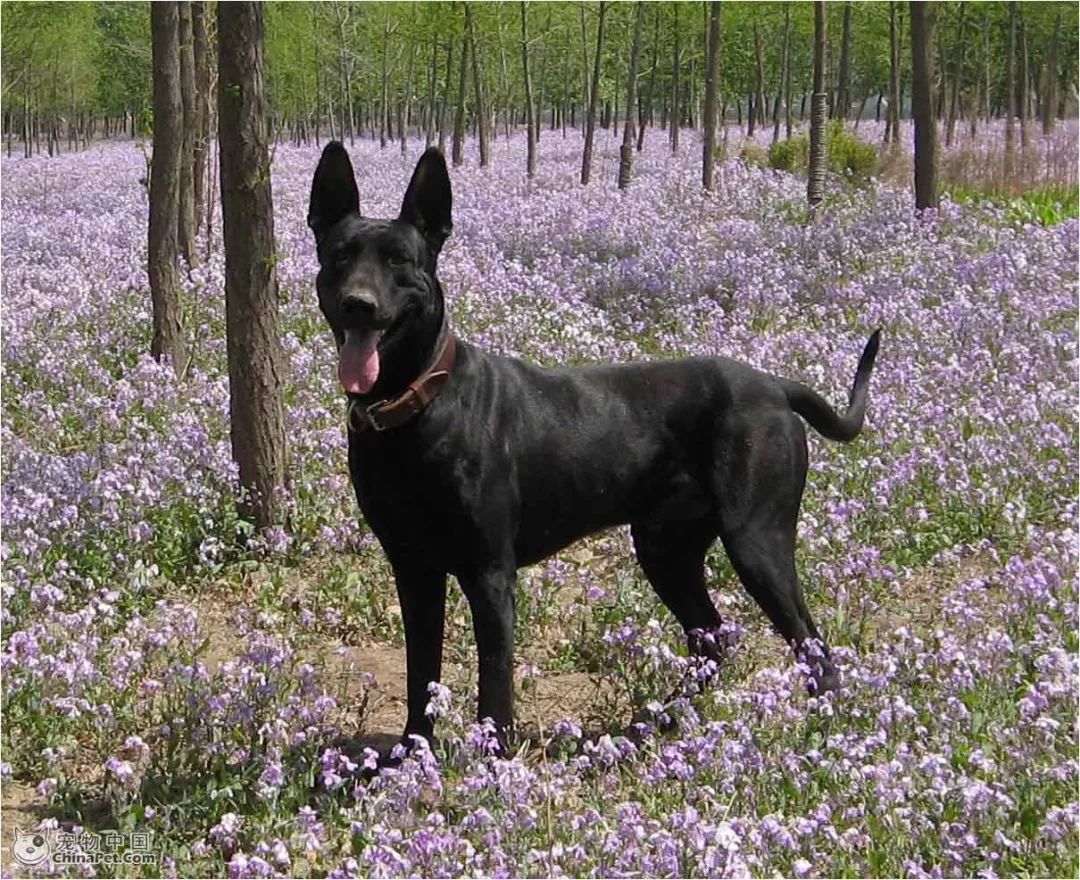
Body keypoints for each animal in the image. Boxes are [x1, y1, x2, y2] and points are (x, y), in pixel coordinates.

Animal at [308, 141, 881, 747]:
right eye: (340, 255)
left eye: (400, 261)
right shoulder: (412, 567)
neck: (415, 402)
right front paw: (411, 753)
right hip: (665, 546)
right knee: (711, 636)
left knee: (812, 647)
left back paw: (823, 734)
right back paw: (661, 721)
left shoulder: (490, 573)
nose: (358, 304)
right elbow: (421, 673)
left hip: (756, 539)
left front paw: (491, 760)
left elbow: (495, 683)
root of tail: (773, 385)